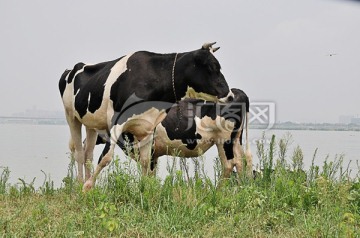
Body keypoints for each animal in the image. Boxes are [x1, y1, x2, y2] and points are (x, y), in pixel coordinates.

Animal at [58, 42, 233, 191]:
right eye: (212, 66)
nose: (230, 96)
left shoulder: (148, 127)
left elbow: (145, 162)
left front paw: (145, 189)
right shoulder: (117, 123)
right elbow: (106, 157)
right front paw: (87, 187)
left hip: (91, 124)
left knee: (88, 153)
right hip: (71, 117)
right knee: (79, 153)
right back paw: (80, 184)